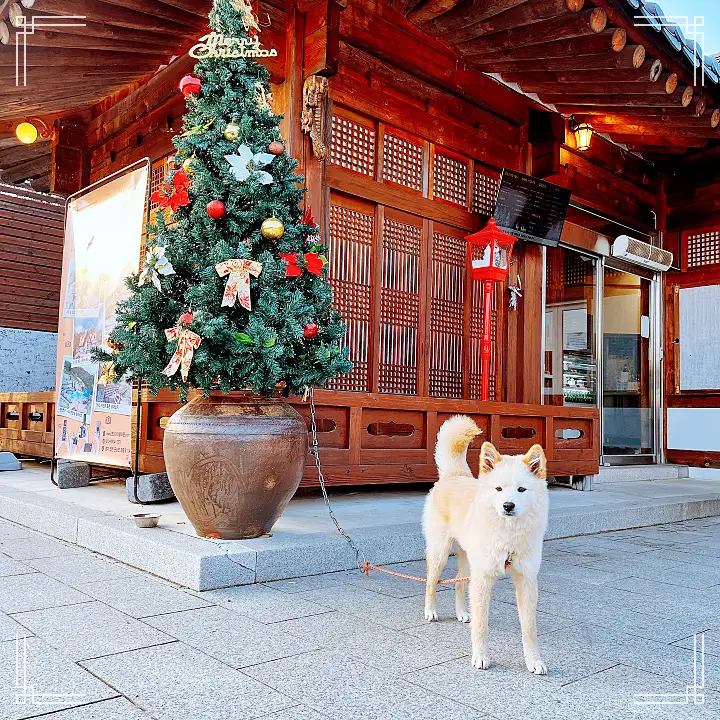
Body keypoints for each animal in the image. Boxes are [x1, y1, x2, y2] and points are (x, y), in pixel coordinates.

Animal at [424, 416, 548, 676]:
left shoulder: (527, 581)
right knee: (431, 581)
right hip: (440, 552)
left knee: (459, 584)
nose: (508, 506)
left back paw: (462, 612)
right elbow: (482, 626)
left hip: (468, 560)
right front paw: (480, 657)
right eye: (498, 489)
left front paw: (534, 661)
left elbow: (529, 629)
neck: (508, 537)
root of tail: (455, 475)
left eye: (522, 489)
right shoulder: (483, 579)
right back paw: (430, 611)